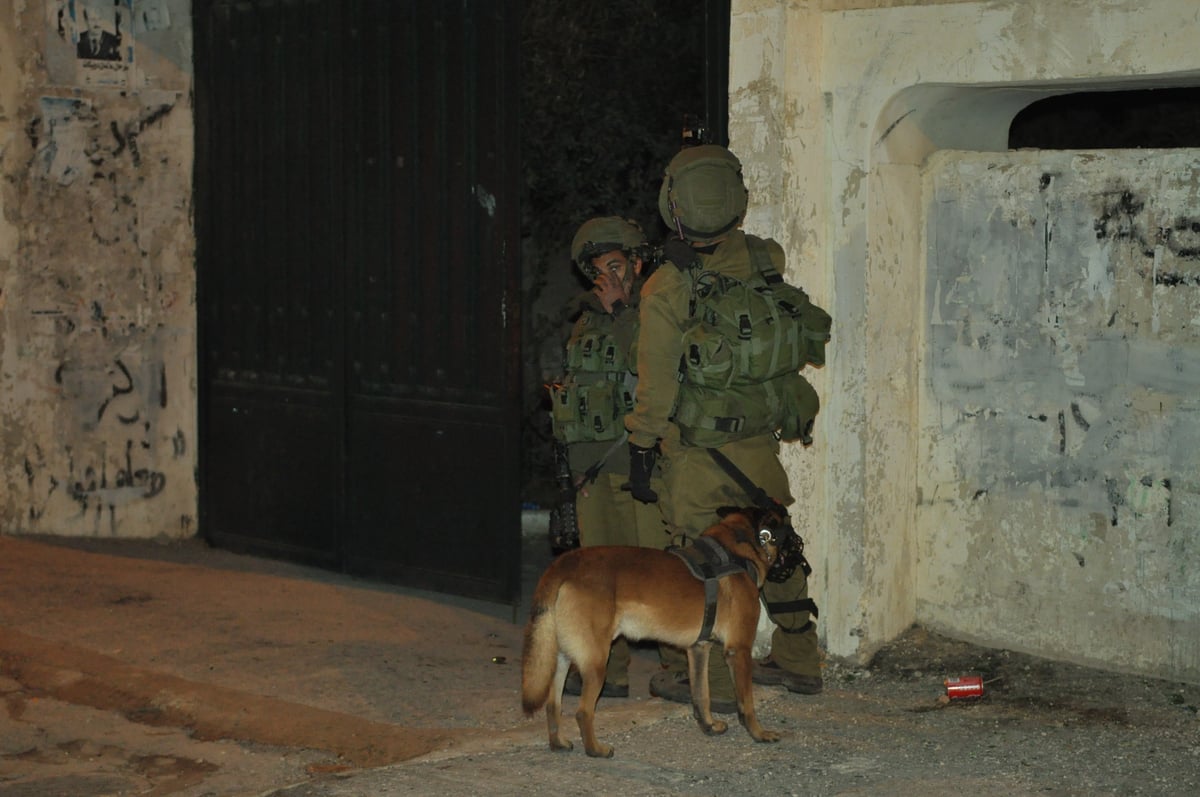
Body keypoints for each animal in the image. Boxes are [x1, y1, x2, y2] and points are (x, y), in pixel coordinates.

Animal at [520, 506, 792, 758]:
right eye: (790, 531)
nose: (801, 558)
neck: (739, 546)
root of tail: (563, 563)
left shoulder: (698, 650)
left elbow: (701, 694)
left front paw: (708, 725)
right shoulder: (740, 650)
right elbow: (747, 702)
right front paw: (759, 734)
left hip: (562, 659)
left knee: (552, 705)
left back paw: (558, 743)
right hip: (596, 663)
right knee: (582, 712)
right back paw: (595, 749)